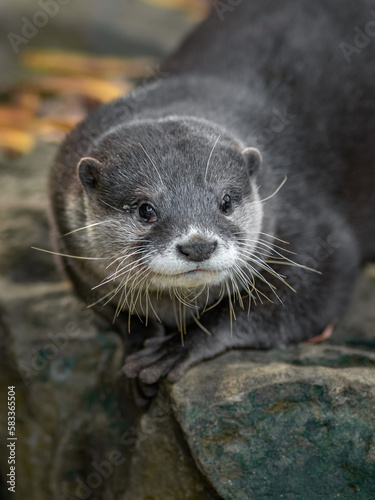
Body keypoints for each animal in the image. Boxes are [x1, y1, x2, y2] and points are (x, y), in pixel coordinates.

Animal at [48, 0, 375, 398]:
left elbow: (300, 298)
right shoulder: (69, 247)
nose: (198, 245)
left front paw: (178, 347)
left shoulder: (313, 231)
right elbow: (111, 305)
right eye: (145, 210)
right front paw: (140, 337)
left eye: (226, 202)